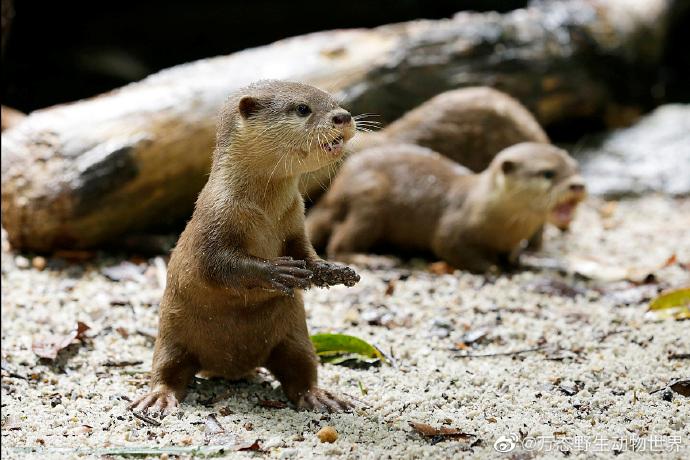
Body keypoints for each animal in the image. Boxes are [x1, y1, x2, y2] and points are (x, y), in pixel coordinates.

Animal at [131, 81, 362, 416]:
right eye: (302, 108)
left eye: (336, 102)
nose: (343, 117)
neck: (263, 213)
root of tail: (229, 367)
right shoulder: (214, 219)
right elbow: (219, 266)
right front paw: (278, 271)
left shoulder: (296, 219)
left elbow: (306, 253)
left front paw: (333, 271)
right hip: (171, 335)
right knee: (166, 368)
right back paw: (158, 398)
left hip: (295, 337)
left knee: (301, 370)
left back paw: (320, 397)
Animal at [310, 143, 584, 274]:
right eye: (548, 173)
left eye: (575, 167)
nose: (578, 185)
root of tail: (333, 194)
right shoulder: (453, 230)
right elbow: (447, 245)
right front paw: (491, 266)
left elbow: (512, 252)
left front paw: (516, 261)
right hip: (369, 202)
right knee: (338, 243)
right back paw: (374, 259)